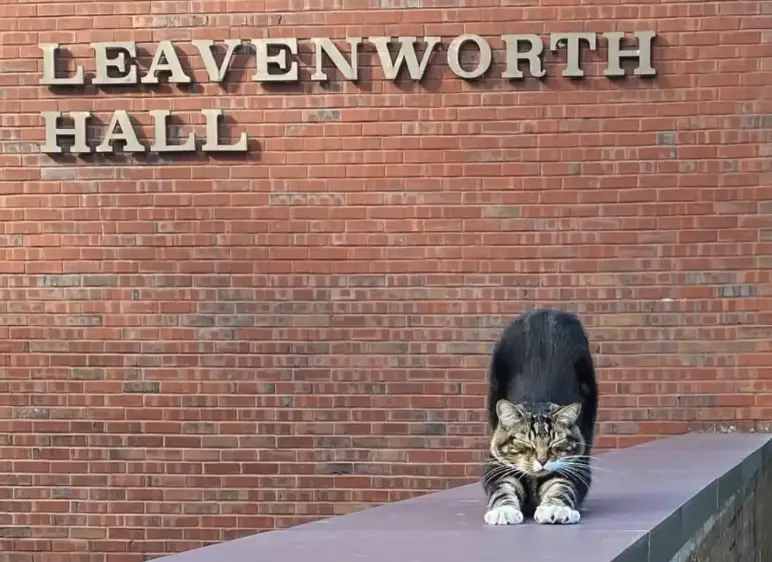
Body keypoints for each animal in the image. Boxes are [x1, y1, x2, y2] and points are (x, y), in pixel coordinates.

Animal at [482, 306, 596, 520]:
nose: (542, 460)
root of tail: (545, 311)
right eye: (525, 443)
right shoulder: (496, 467)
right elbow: (503, 488)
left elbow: (561, 486)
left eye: (556, 443)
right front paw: (503, 511)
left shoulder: (573, 467)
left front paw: (556, 508)